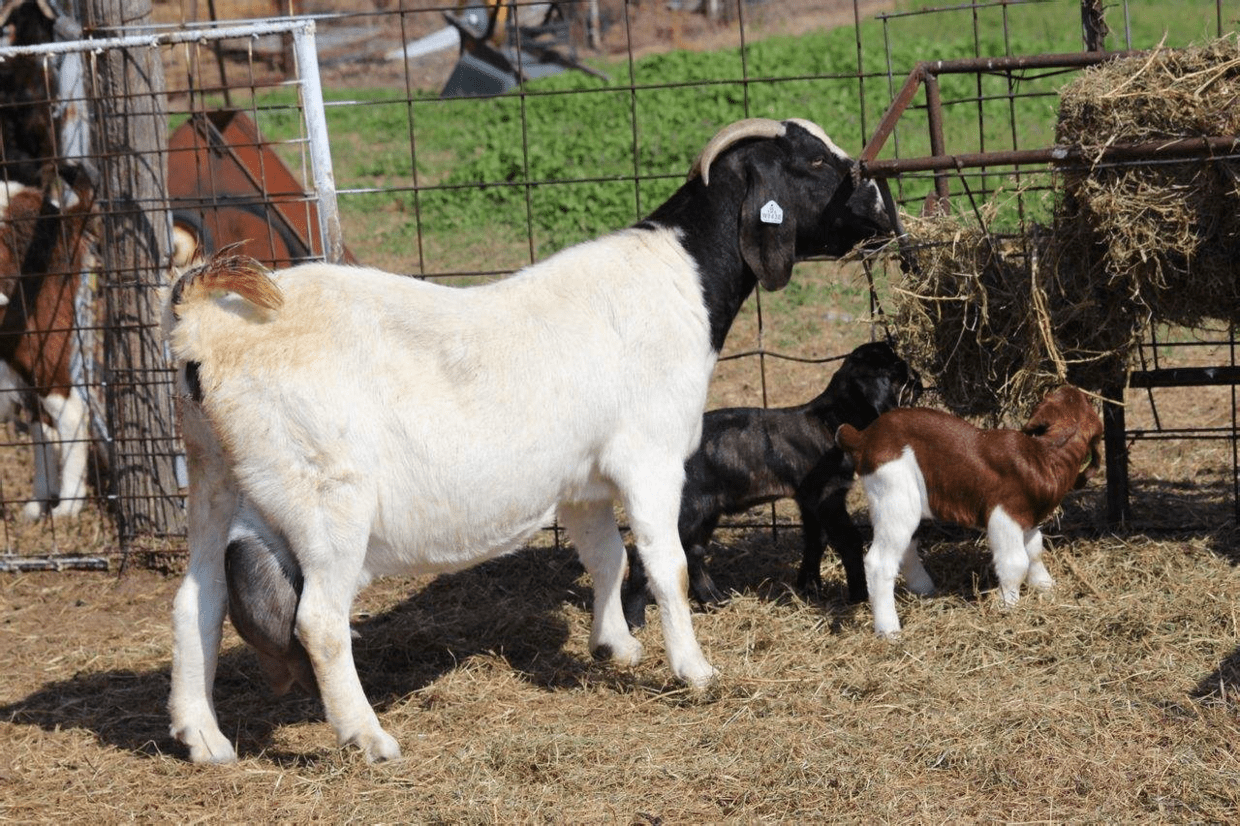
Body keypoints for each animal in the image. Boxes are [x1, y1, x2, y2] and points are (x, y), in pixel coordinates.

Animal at [164, 115, 892, 759]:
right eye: (814, 162)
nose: (885, 214)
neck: (680, 276)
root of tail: (208, 327)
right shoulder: (650, 457)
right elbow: (667, 564)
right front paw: (695, 671)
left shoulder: (583, 479)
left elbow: (607, 557)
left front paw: (615, 646)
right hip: (327, 498)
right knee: (318, 619)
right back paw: (368, 739)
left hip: (211, 475)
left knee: (197, 600)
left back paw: (204, 739)